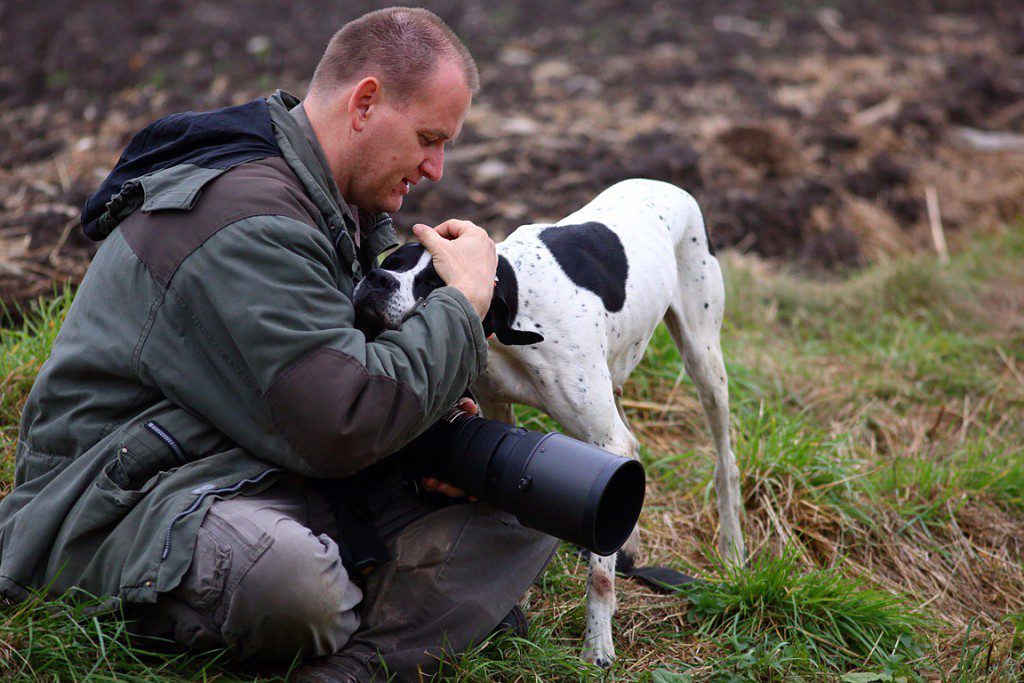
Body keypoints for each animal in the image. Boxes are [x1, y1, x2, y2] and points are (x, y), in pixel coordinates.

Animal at [352, 178, 745, 667]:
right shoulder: (498, 408)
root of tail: (668, 185)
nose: (377, 280)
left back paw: (732, 548)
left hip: (703, 359)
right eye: (392, 262)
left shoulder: (606, 440)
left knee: (725, 460)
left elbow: (599, 574)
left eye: (435, 283)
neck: (517, 306)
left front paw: (597, 644)